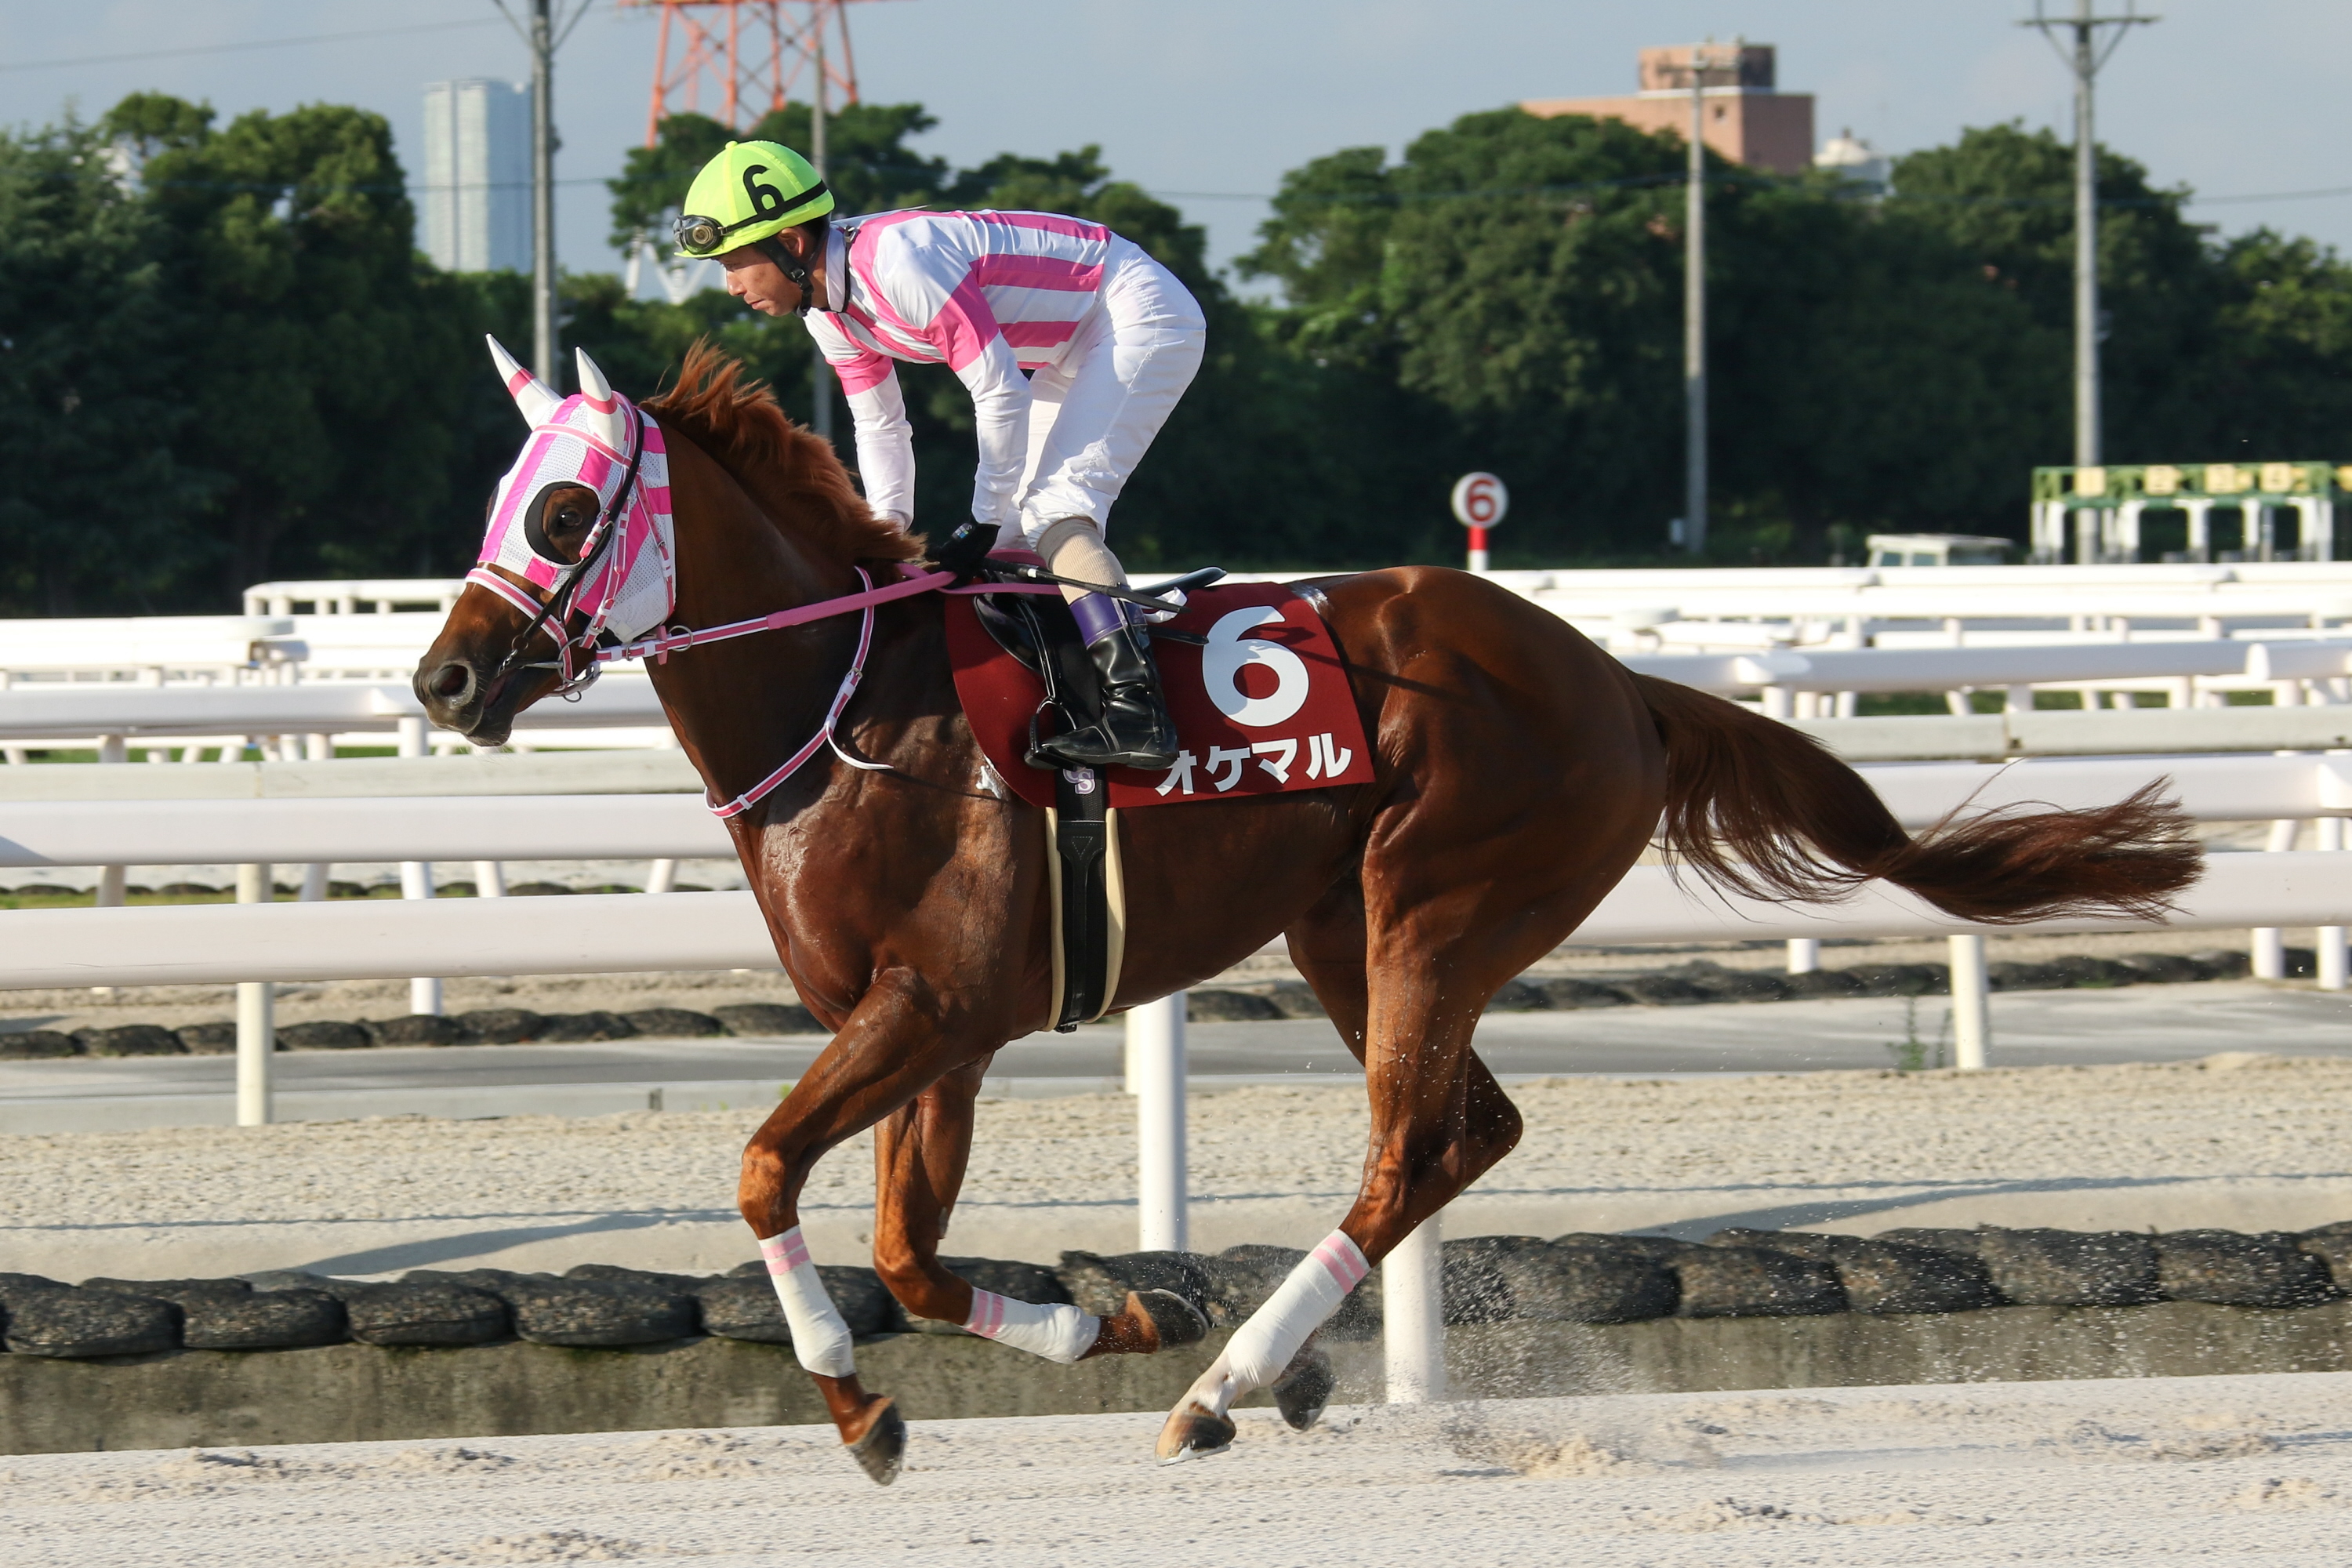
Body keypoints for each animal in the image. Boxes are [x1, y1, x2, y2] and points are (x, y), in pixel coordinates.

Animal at [418, 339, 2199, 1483]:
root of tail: (1616, 680)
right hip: (1349, 930)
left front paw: (865, 1412)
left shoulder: (933, 1007)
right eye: (498, 498)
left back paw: (1227, 1389)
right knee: (1468, 1134)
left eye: (564, 512)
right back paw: (1251, 1367)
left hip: (1434, 904)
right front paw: (1118, 1314)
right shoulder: (947, 1033)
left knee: (1410, 1145)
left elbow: (763, 1168)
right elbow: (910, 1254)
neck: (859, 706)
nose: (442, 679)